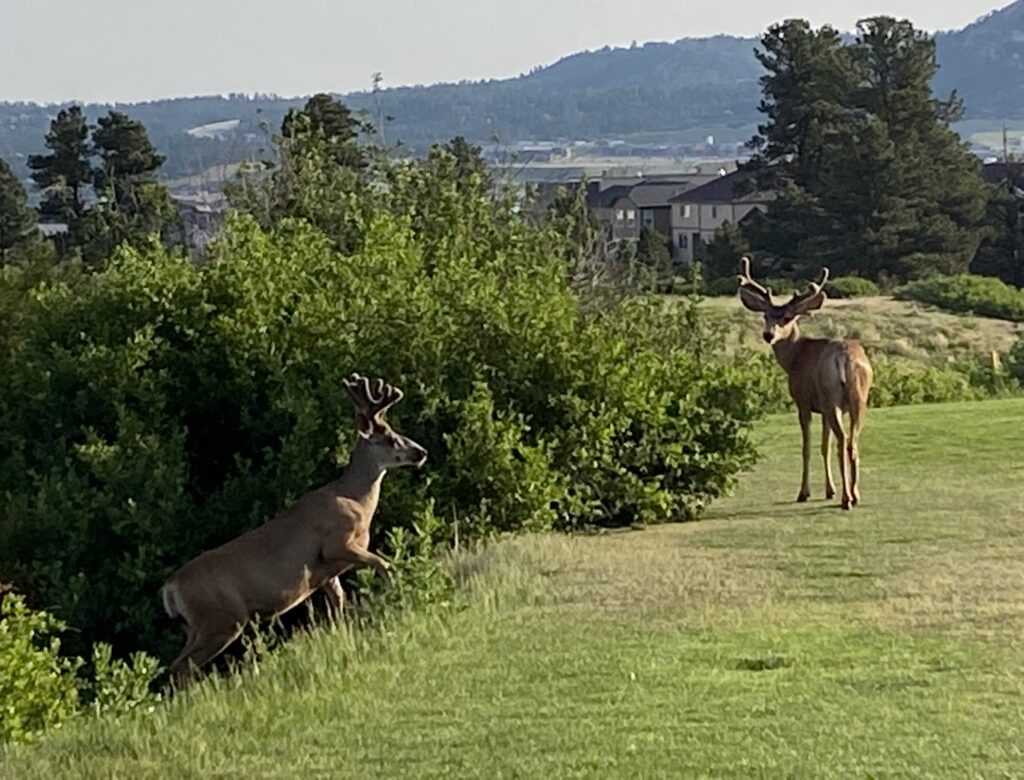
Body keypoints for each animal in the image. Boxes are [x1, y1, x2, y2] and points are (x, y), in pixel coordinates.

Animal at [159, 374, 428, 685]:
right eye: (390, 437)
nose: (421, 452)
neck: (356, 500)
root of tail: (170, 588)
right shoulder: (336, 543)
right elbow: (384, 564)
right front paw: (397, 595)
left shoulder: (326, 573)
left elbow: (339, 605)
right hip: (222, 619)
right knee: (182, 666)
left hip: (195, 626)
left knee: (178, 665)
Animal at [736, 257, 873, 510]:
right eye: (766, 316)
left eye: (787, 318)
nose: (768, 335)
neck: (795, 358)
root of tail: (845, 358)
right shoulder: (823, 409)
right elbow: (823, 447)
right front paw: (829, 490)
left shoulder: (803, 401)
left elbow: (807, 448)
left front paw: (804, 492)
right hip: (858, 398)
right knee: (852, 442)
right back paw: (855, 495)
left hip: (831, 397)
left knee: (843, 441)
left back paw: (846, 499)